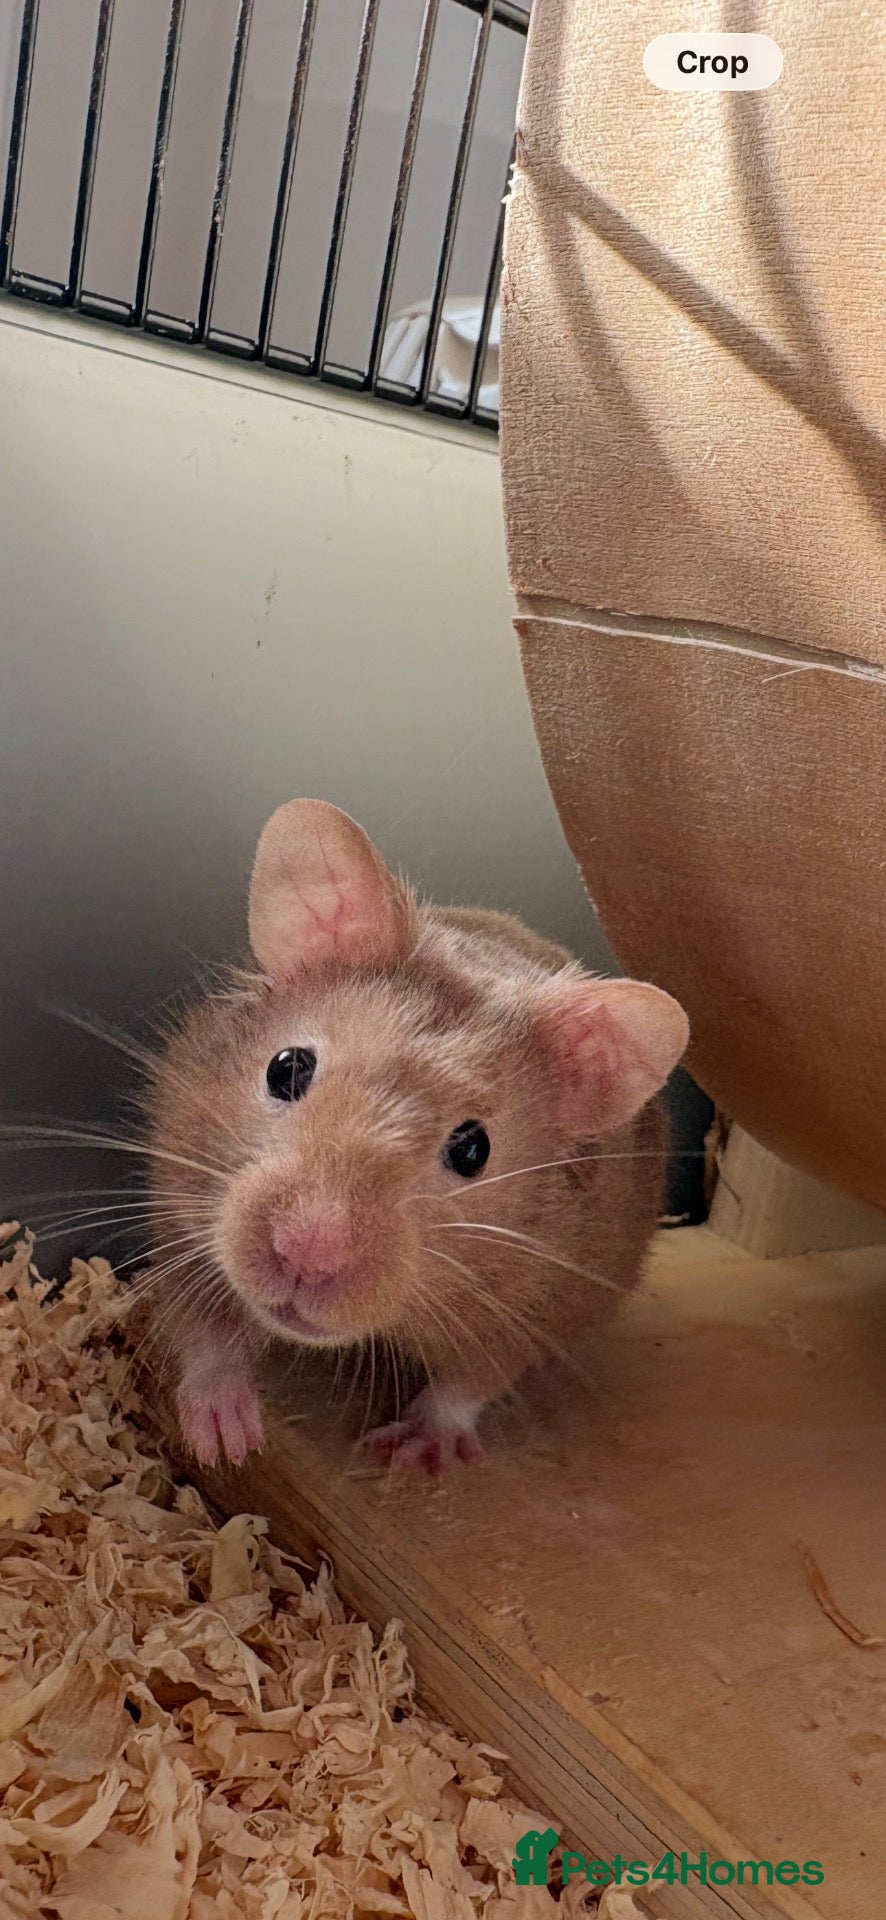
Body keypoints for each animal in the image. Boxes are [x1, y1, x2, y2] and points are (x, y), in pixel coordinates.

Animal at [143, 799, 689, 1475]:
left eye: (473, 1149)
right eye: (286, 1068)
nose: (306, 1256)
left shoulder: (534, 1308)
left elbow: (469, 1381)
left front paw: (411, 1455)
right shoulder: (176, 1202)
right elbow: (205, 1326)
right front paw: (226, 1443)